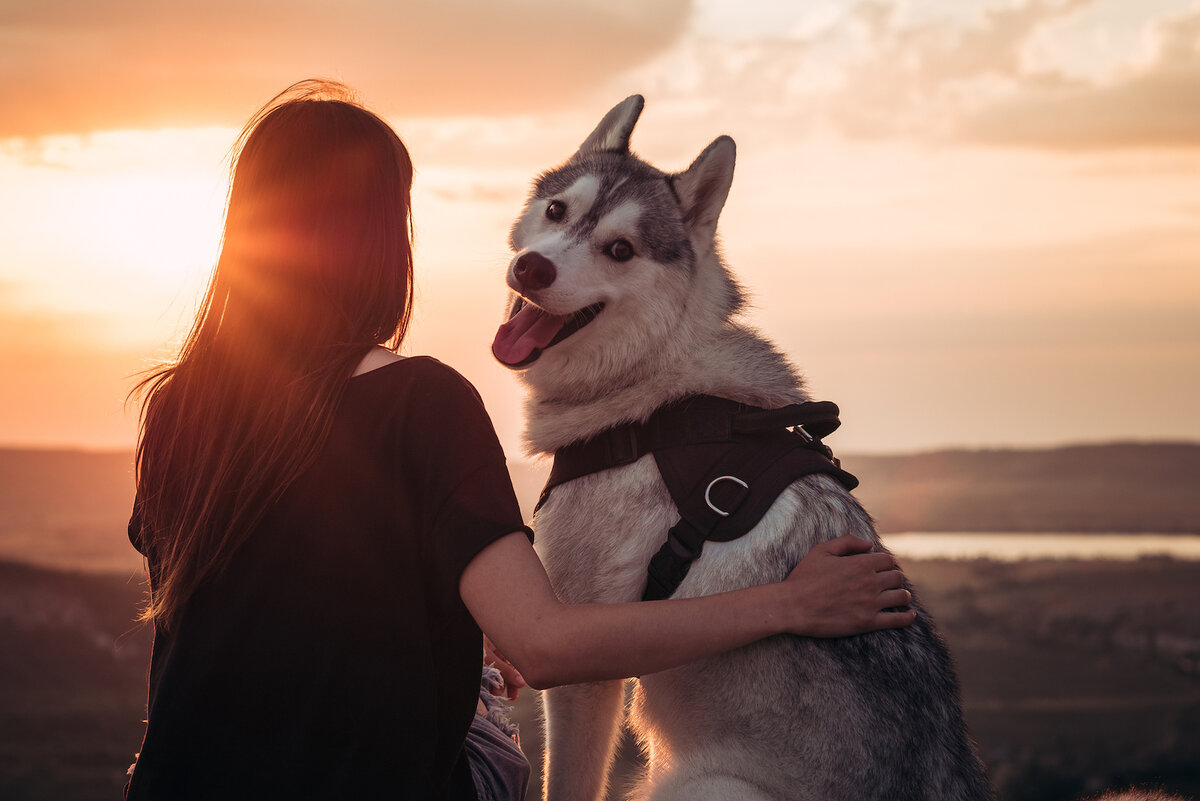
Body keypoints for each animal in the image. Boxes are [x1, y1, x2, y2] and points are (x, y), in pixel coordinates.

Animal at [489, 98, 993, 801]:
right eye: (558, 210)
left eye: (620, 249)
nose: (532, 268)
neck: (653, 391)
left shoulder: (580, 657)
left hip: (695, 786)